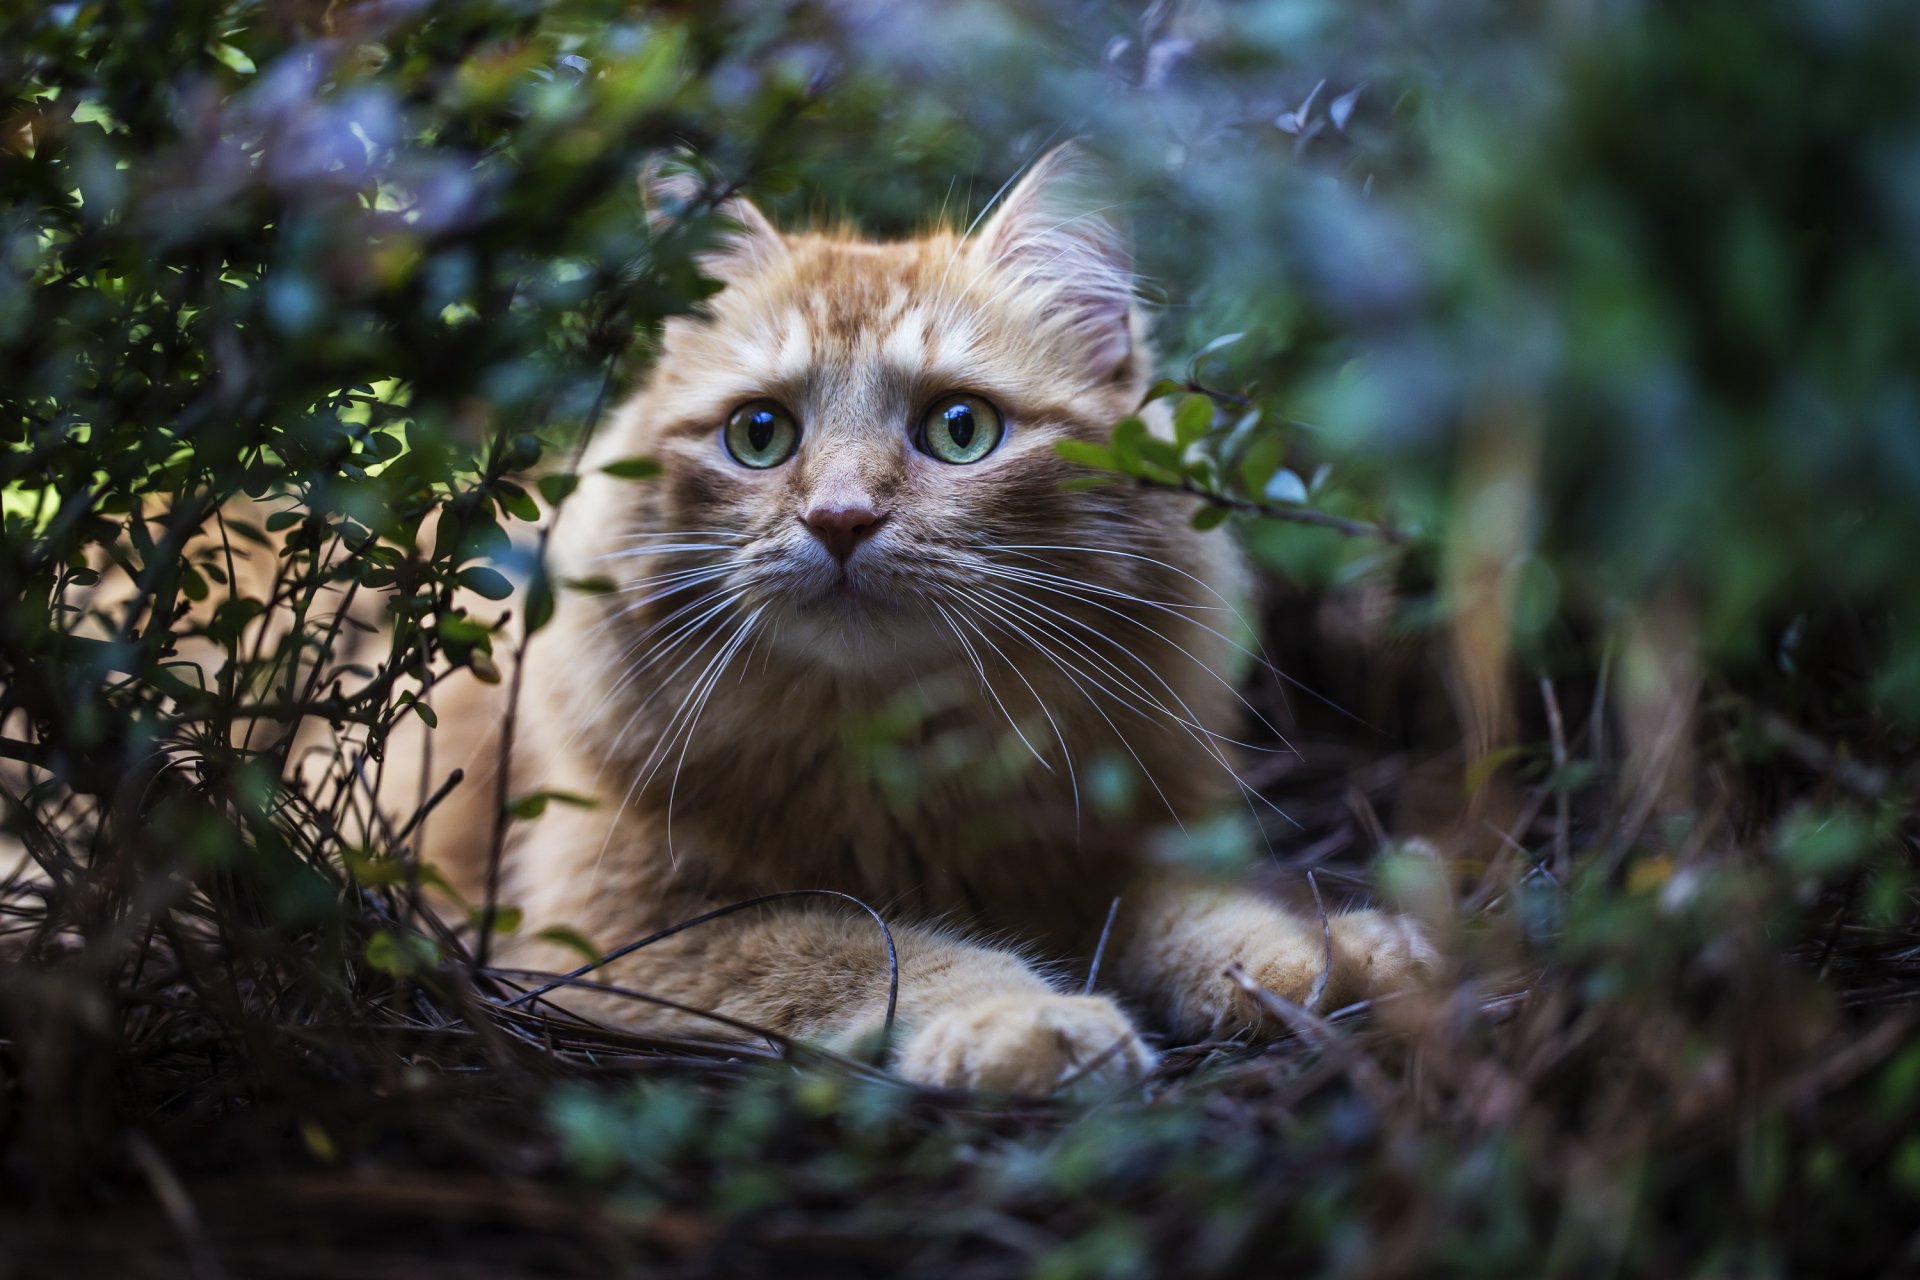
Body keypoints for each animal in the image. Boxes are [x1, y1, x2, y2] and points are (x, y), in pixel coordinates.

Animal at [397, 150, 1436, 1090]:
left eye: (960, 429)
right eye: (759, 435)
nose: (841, 519)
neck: (896, 759)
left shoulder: (1106, 851)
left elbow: (1210, 911)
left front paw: (1333, 956)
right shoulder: (616, 925)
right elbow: (881, 949)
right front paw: (1026, 1020)